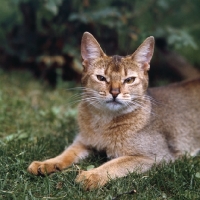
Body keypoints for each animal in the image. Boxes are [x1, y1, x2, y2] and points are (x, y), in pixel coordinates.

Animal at [27, 32, 200, 190]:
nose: (115, 92)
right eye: (101, 78)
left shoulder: (155, 156)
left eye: (129, 80)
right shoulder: (83, 141)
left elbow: (115, 163)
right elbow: (67, 153)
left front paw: (91, 175)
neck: (103, 122)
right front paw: (46, 163)